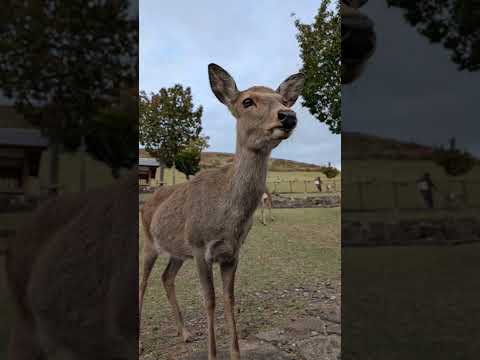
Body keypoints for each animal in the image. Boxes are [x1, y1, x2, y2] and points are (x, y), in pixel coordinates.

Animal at [139, 63, 304, 358]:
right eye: (247, 101)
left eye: (284, 100)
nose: (288, 116)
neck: (228, 221)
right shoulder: (199, 247)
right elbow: (210, 299)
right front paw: (212, 353)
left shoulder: (232, 253)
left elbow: (229, 298)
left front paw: (235, 353)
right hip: (150, 242)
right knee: (143, 281)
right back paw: (140, 342)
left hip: (177, 251)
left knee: (166, 277)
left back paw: (185, 333)